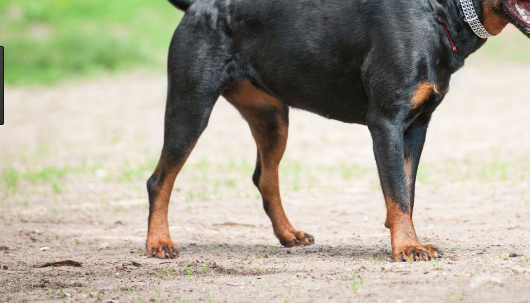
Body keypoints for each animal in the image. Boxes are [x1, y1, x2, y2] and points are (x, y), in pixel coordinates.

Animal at [144, 0, 528, 262]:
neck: (443, 13)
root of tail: (197, 5)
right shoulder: (386, 121)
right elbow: (398, 191)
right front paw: (407, 246)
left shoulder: (417, 126)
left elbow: (407, 189)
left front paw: (404, 236)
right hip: (191, 104)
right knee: (160, 179)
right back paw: (159, 242)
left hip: (272, 116)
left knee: (265, 177)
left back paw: (289, 234)